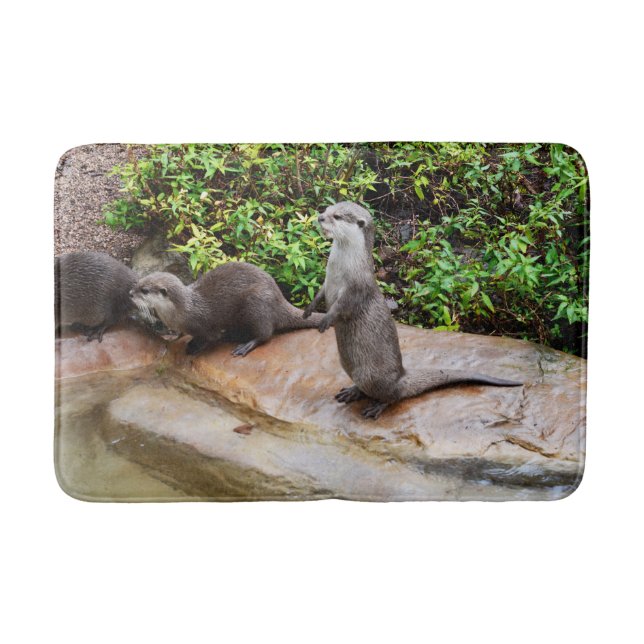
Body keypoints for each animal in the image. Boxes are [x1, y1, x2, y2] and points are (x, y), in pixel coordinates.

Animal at [130, 262, 325, 356]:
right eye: (138, 282)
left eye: (144, 290)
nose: (130, 293)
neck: (182, 311)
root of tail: (279, 297)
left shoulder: (204, 325)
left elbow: (209, 337)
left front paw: (193, 347)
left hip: (257, 304)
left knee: (266, 334)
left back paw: (245, 345)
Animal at [303, 202, 522, 419]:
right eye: (327, 209)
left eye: (337, 216)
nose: (320, 217)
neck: (340, 269)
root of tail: (401, 377)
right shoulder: (327, 281)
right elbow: (320, 293)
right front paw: (308, 311)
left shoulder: (357, 287)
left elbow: (342, 307)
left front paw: (325, 320)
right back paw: (352, 391)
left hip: (370, 375)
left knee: (393, 396)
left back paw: (377, 406)